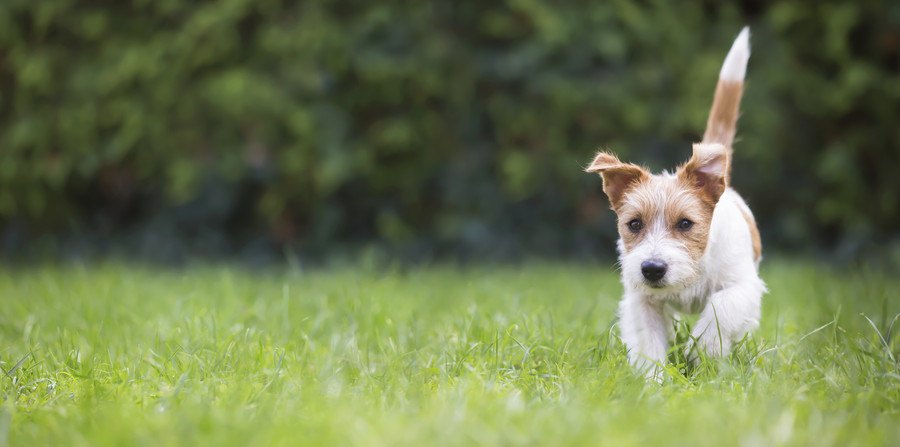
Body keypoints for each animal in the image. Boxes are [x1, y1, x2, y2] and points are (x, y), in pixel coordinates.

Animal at [584, 28, 768, 376]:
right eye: (634, 224)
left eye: (685, 223)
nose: (652, 269)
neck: (694, 270)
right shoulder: (642, 300)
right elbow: (649, 340)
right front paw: (653, 379)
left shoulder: (741, 286)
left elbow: (720, 309)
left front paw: (705, 352)